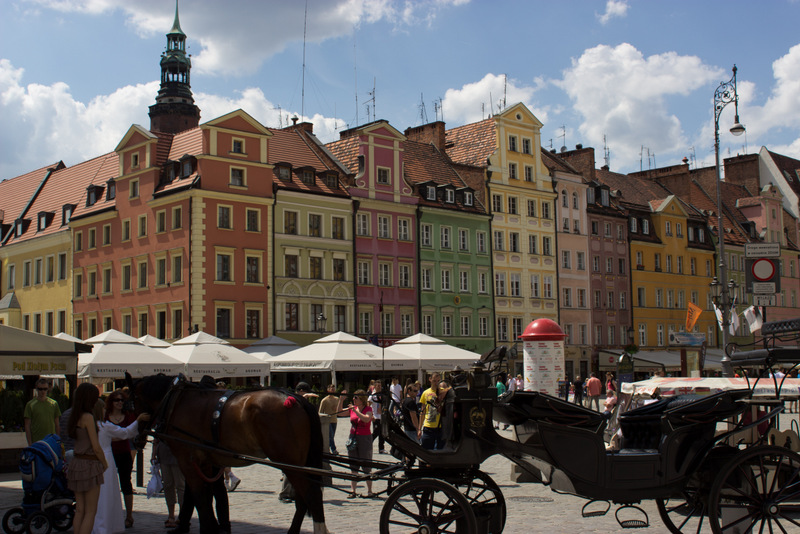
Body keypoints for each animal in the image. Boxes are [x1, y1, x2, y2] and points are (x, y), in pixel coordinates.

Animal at [126, 376, 326, 534]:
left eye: (132, 400)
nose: (136, 439)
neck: (175, 401)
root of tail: (298, 399)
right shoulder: (204, 462)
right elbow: (204, 497)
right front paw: (208, 527)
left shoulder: (186, 461)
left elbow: (199, 497)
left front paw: (206, 528)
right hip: (299, 464)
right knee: (303, 500)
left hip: (289, 463)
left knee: (312, 496)